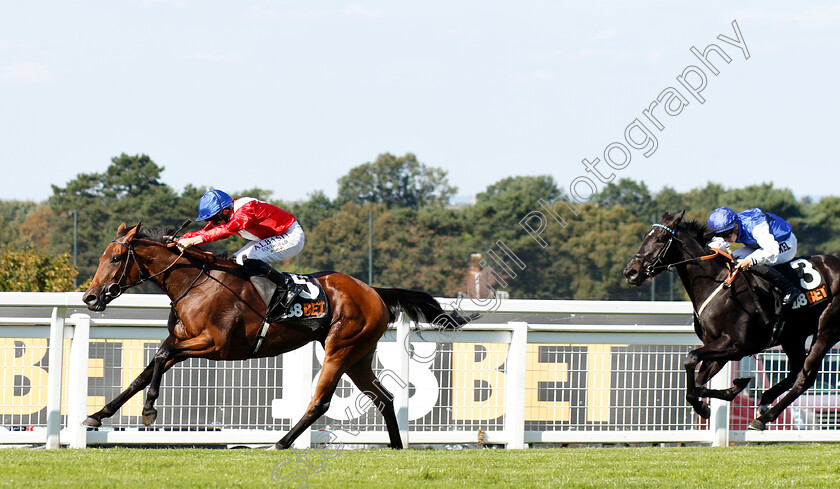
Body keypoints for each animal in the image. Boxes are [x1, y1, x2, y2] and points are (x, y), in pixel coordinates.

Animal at [83, 223, 472, 448]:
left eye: (115, 258)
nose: (90, 297)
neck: (195, 283)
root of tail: (373, 291)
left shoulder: (216, 345)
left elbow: (160, 358)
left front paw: (149, 411)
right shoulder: (183, 341)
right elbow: (147, 370)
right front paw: (98, 415)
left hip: (339, 348)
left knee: (321, 402)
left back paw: (281, 443)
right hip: (358, 355)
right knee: (384, 397)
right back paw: (396, 447)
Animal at [620, 208, 840, 428]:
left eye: (660, 238)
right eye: (644, 237)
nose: (631, 272)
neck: (717, 285)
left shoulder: (735, 345)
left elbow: (691, 359)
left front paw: (731, 389)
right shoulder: (717, 348)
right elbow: (696, 386)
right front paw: (715, 398)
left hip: (826, 331)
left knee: (805, 379)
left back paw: (765, 417)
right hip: (793, 337)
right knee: (796, 371)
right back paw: (765, 399)